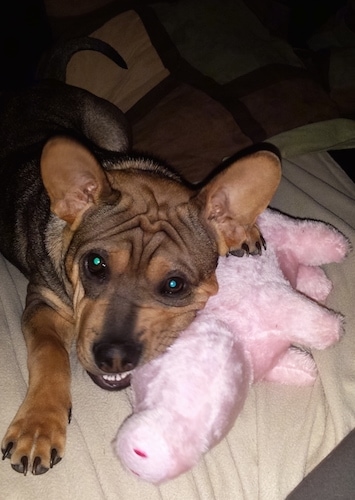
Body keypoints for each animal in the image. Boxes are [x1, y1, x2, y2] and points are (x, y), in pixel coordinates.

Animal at [1, 37, 282, 474]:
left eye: (174, 284)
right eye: (94, 264)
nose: (114, 358)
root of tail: (45, 81)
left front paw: (244, 228)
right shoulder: (40, 302)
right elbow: (49, 352)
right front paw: (38, 426)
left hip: (111, 127)